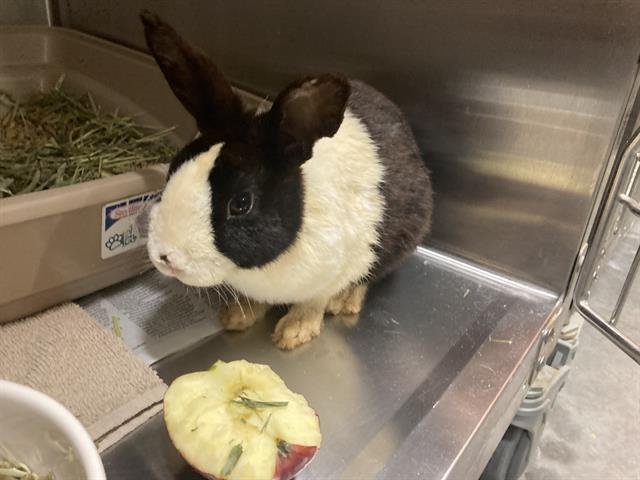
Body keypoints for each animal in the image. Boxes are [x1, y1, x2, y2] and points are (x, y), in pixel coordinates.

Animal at [140, 11, 433, 350]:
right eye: (173, 170)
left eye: (241, 203)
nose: (165, 257)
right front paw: (236, 317)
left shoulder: (336, 267)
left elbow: (314, 301)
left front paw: (294, 332)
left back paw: (345, 301)